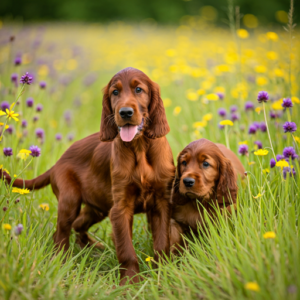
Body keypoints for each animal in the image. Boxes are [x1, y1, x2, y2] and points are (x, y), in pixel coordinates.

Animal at [0, 68, 175, 286]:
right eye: (115, 92)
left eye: (139, 89)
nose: (125, 112)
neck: (140, 147)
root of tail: (57, 163)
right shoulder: (120, 208)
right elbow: (126, 250)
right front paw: (130, 282)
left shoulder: (161, 203)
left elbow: (162, 242)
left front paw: (163, 274)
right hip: (70, 199)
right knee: (62, 232)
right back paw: (62, 261)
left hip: (98, 207)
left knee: (78, 224)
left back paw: (90, 248)